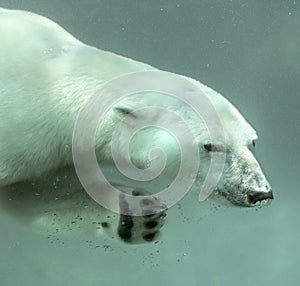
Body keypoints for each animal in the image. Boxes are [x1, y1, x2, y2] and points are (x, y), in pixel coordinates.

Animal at [0, 7, 274, 242]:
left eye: (253, 142)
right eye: (210, 146)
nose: (259, 192)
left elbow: (34, 199)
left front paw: (138, 216)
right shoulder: (20, 134)